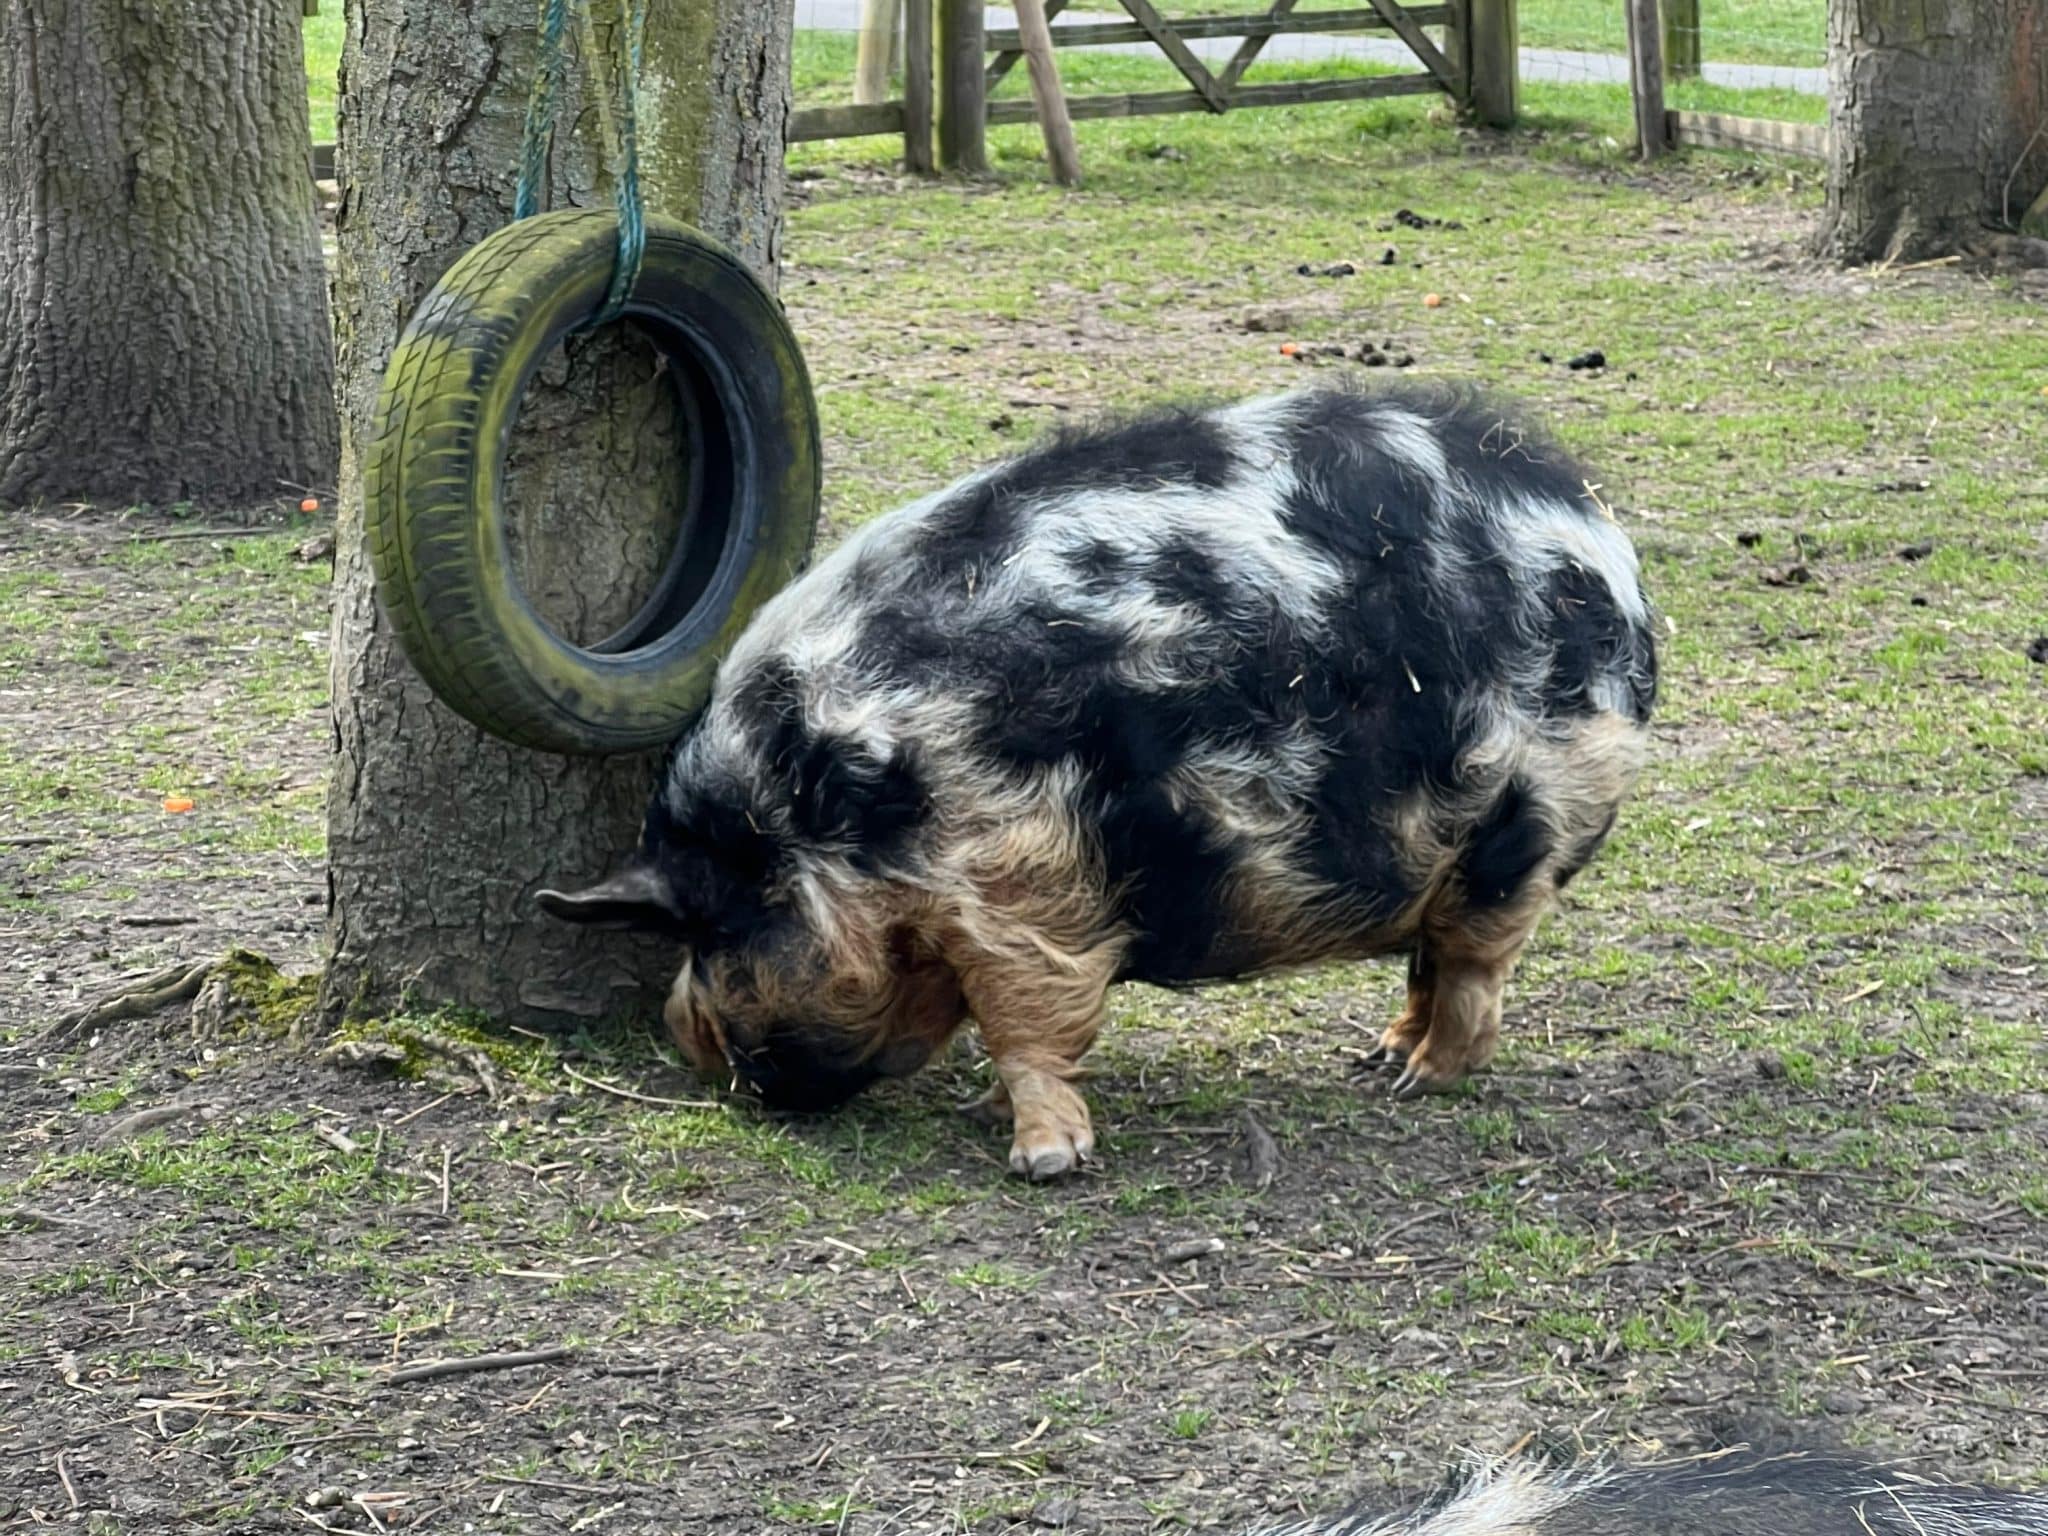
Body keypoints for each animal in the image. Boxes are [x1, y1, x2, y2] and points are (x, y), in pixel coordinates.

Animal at [538, 382, 1658, 1179]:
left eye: (712, 930)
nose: (694, 1043)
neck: (833, 806)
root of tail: (1605, 546)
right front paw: (983, 1109)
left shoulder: (1019, 870)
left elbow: (1025, 1015)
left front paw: (1040, 1159)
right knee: (1431, 961)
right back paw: (1380, 1055)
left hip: (1521, 828)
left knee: (1472, 972)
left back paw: (1415, 1083)